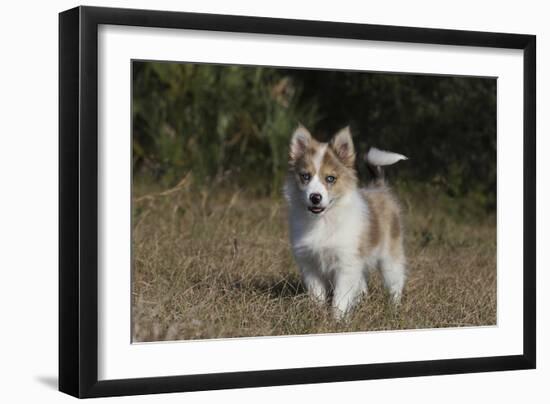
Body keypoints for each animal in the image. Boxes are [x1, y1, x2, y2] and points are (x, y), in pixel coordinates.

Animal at [284, 126, 410, 318]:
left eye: (330, 179)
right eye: (305, 176)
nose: (315, 197)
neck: (323, 220)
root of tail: (379, 188)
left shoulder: (346, 264)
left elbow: (340, 298)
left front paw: (337, 319)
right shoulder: (310, 264)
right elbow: (317, 294)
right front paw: (317, 314)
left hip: (390, 257)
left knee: (395, 283)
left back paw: (393, 309)